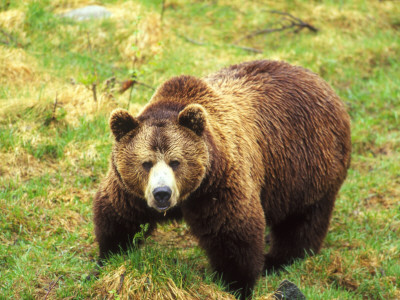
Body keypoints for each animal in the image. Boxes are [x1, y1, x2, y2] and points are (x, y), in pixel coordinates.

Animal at [93, 59, 350, 298]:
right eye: (146, 163)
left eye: (176, 162)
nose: (162, 193)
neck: (189, 196)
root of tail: (320, 81)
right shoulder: (131, 191)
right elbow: (118, 216)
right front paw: (107, 259)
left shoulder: (219, 184)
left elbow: (233, 233)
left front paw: (235, 285)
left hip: (307, 169)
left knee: (302, 221)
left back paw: (277, 260)